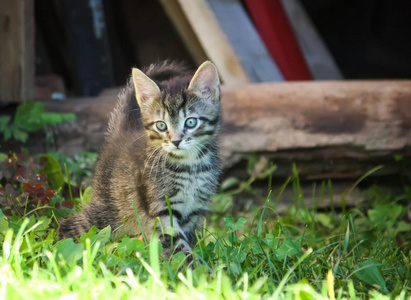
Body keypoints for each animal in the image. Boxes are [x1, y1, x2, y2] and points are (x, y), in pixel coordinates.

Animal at [58, 60, 222, 255]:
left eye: (191, 122)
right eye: (161, 125)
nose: (175, 141)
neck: (189, 165)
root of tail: (120, 136)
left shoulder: (194, 209)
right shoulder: (161, 210)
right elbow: (179, 249)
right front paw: (194, 264)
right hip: (106, 212)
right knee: (71, 226)